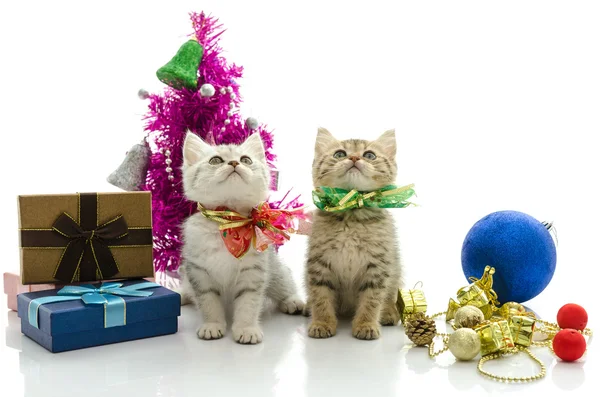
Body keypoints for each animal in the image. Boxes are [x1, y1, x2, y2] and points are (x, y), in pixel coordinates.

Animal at [178, 132, 304, 344]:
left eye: (246, 160)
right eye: (215, 160)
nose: (235, 163)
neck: (228, 222)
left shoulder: (253, 271)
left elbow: (248, 303)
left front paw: (246, 329)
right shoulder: (199, 272)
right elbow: (208, 302)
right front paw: (212, 325)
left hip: (276, 270)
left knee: (285, 284)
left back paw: (294, 301)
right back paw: (181, 295)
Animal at [304, 128, 404, 338]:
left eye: (370, 155)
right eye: (340, 154)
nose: (355, 157)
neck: (352, 210)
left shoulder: (378, 266)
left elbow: (372, 299)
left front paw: (366, 324)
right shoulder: (319, 264)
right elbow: (320, 296)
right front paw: (322, 322)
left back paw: (388, 312)